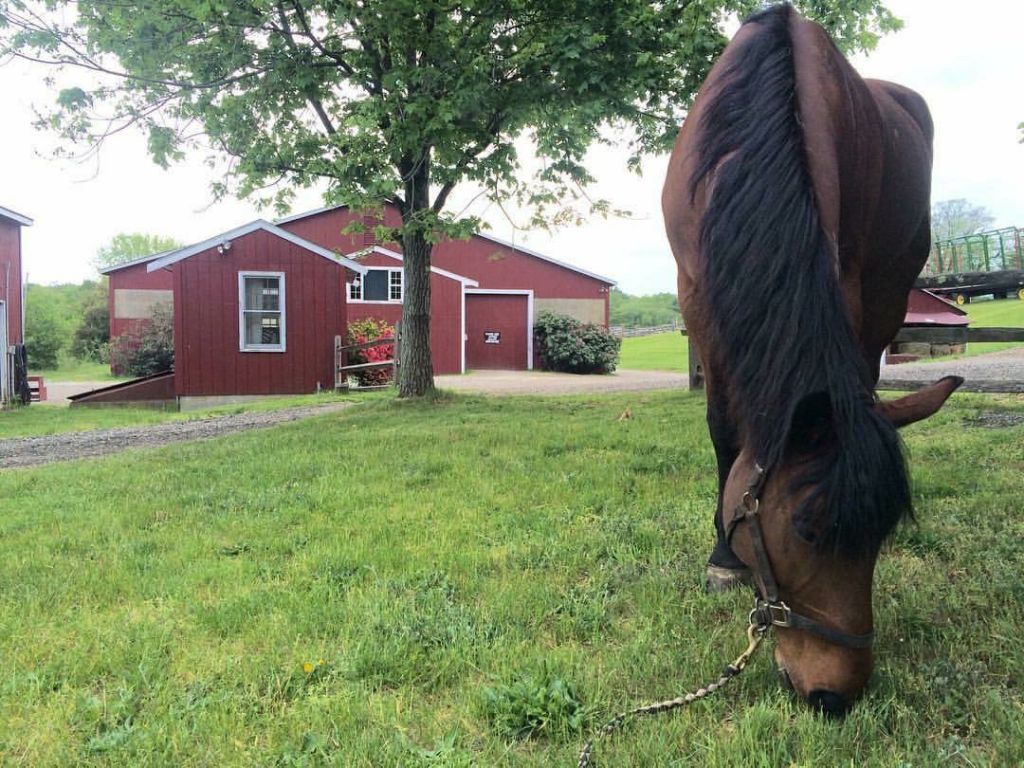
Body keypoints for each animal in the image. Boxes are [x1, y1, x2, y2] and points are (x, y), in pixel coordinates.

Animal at [659, 3, 962, 720]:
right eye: (808, 530)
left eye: (879, 535)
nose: (835, 695)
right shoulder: (695, 292)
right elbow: (724, 431)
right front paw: (724, 557)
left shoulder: (845, 276)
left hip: (889, 285)